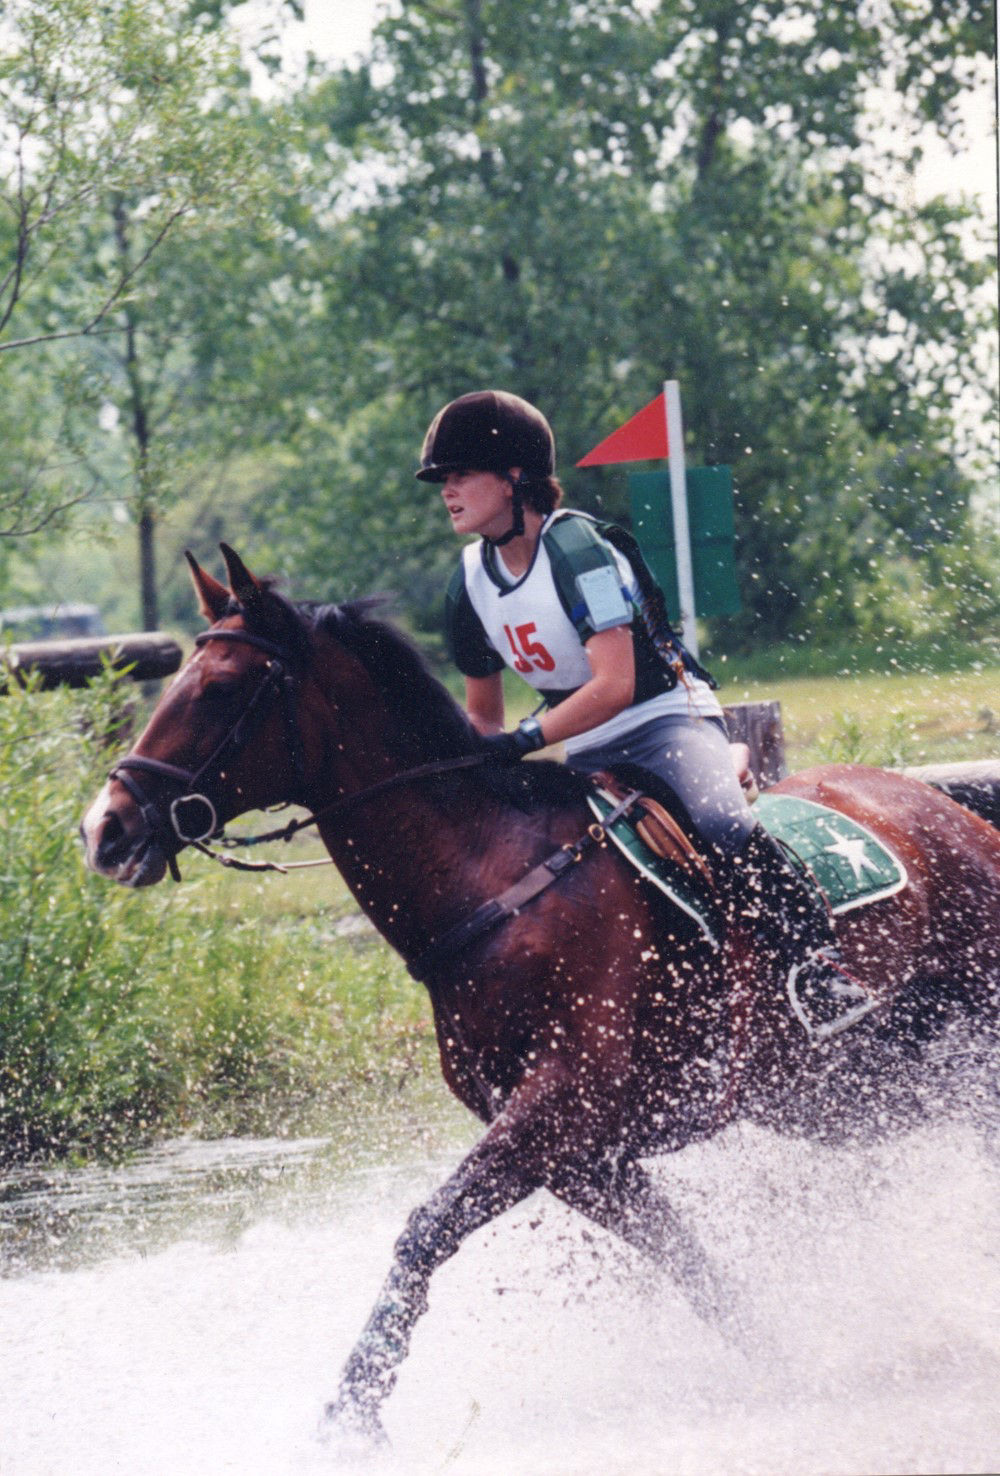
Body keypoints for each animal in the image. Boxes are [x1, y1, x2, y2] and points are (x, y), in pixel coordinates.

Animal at [80, 549, 1000, 1446]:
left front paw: (351, 1414)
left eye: (220, 689)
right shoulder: (582, 1157)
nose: (104, 829)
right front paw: (788, 1362)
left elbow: (425, 1230)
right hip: (847, 1089)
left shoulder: (558, 1108)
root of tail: (946, 806)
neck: (490, 881)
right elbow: (689, 1264)